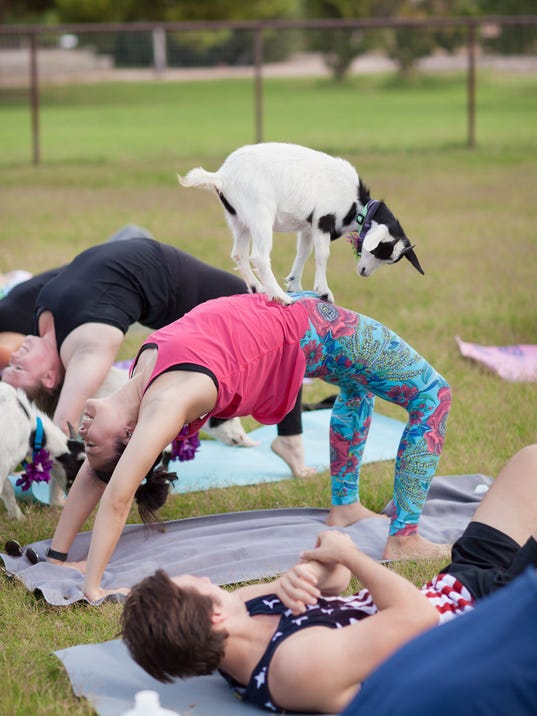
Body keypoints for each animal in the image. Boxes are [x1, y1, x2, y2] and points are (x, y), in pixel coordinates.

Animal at [178, 142, 420, 304]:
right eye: (380, 250)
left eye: (390, 260)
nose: (364, 273)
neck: (356, 204)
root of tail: (221, 177)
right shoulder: (323, 220)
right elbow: (322, 255)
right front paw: (323, 292)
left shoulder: (307, 226)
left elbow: (303, 252)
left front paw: (295, 284)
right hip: (260, 213)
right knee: (259, 256)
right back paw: (280, 297)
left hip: (238, 218)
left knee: (239, 254)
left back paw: (259, 288)